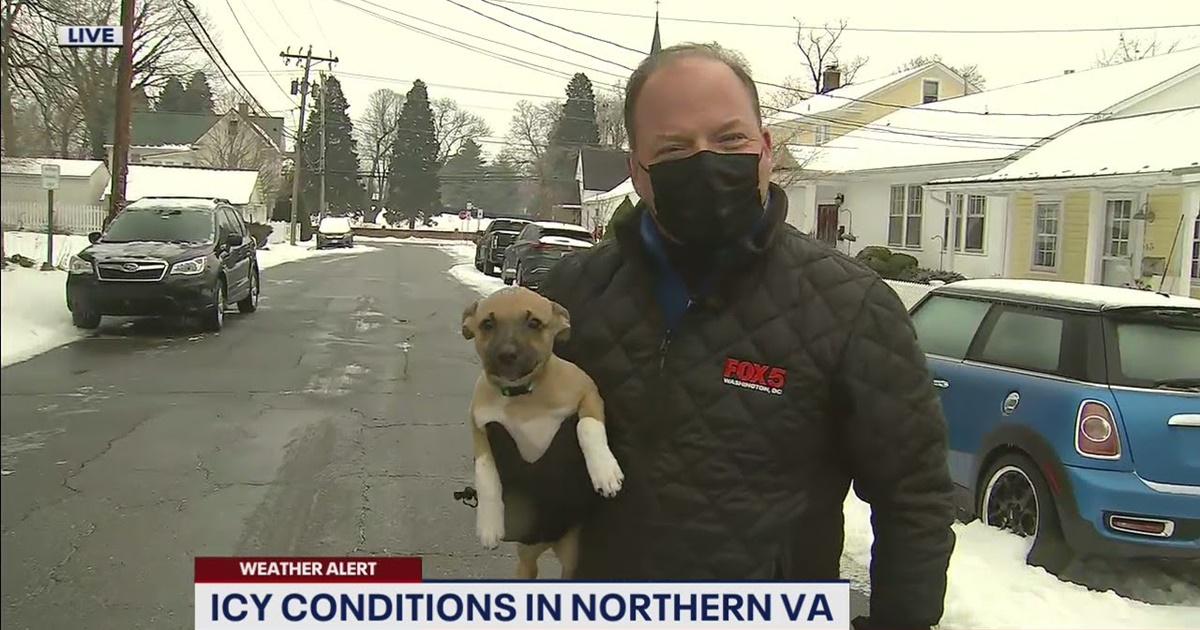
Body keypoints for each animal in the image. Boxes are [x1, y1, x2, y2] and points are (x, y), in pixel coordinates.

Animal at [460, 286, 624, 578]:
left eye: (534, 323)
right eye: (487, 324)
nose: (507, 354)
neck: (524, 395)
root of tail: (548, 542)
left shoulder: (589, 394)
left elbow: (586, 427)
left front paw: (605, 472)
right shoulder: (481, 430)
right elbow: (487, 475)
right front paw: (489, 525)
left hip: (571, 559)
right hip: (527, 558)